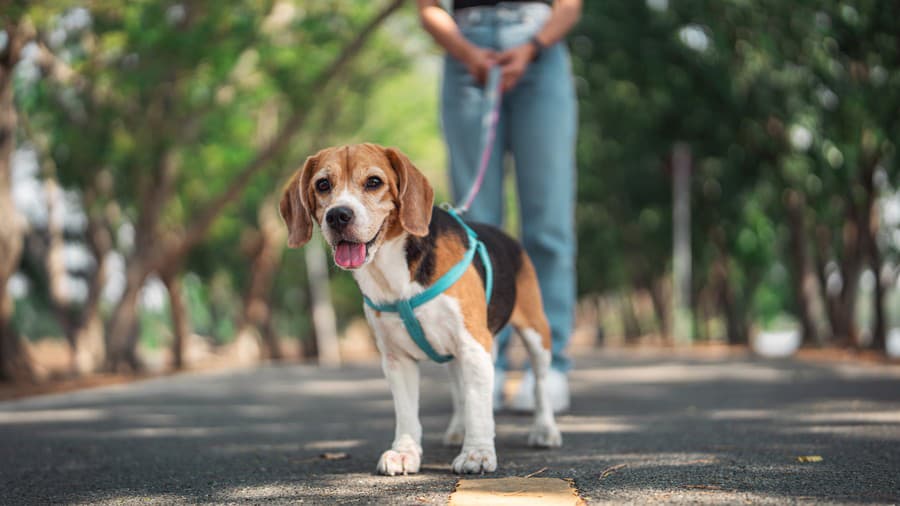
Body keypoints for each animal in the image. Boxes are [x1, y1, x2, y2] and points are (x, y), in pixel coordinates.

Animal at [282, 142, 564, 474]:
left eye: (374, 182)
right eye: (323, 185)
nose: (338, 215)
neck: (392, 271)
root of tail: (508, 237)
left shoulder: (473, 345)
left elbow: (479, 406)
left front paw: (477, 453)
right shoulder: (397, 358)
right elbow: (407, 412)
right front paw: (405, 452)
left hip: (535, 334)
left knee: (539, 384)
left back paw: (544, 430)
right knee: (460, 389)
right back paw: (458, 429)